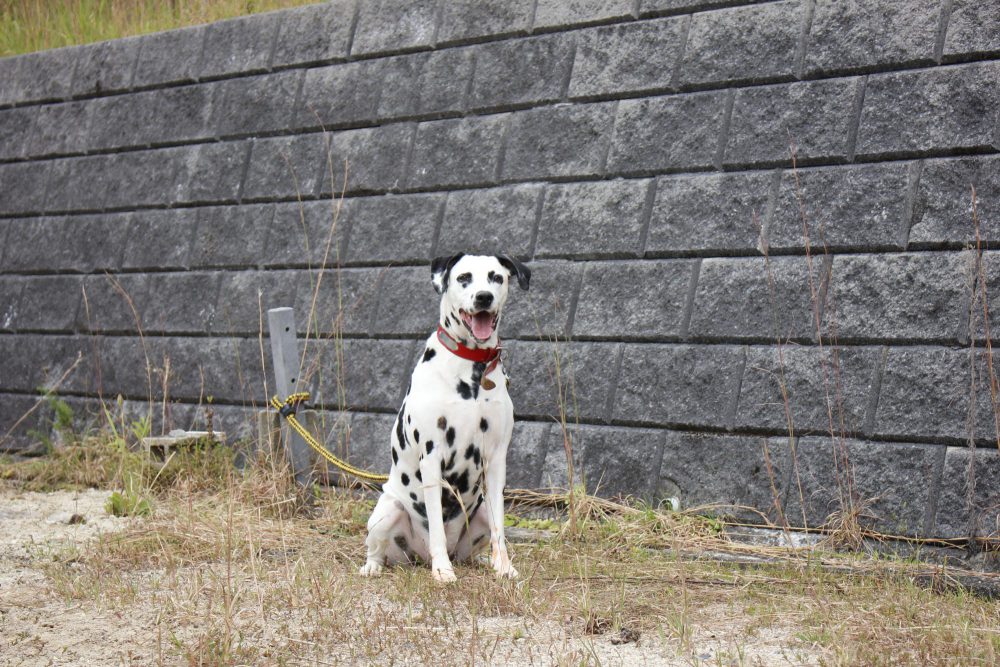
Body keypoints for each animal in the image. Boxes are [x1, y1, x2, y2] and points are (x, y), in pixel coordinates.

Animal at [360, 253, 532, 580]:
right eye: (464, 277)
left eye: (496, 277)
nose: (483, 297)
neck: (473, 369)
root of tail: (417, 556)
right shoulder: (432, 456)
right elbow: (437, 526)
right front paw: (442, 571)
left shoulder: (496, 459)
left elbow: (500, 528)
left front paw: (504, 567)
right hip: (388, 509)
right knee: (378, 548)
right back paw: (374, 566)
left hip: (477, 513)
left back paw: (483, 561)